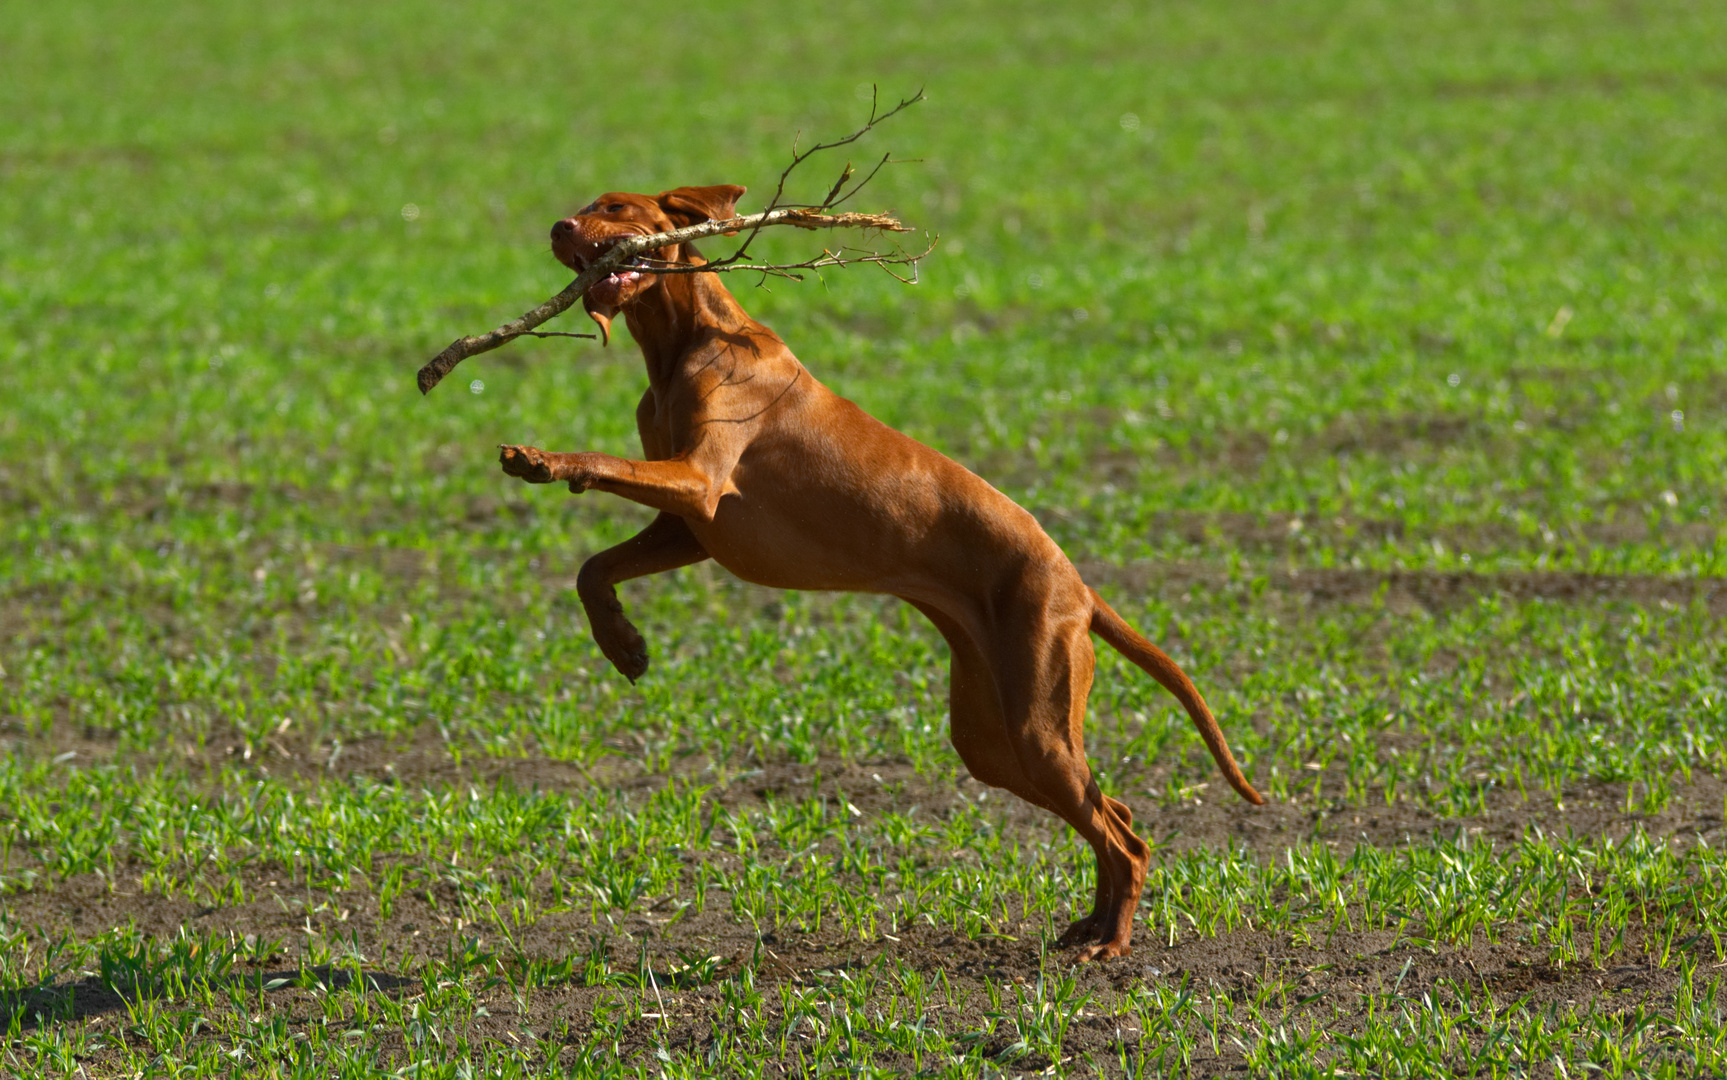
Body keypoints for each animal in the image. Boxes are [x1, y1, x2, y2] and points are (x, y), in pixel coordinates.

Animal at [500, 184, 1271, 960]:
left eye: (615, 208)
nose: (558, 227)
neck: (681, 340)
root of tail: (1078, 585)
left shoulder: (700, 484)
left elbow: (601, 465)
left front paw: (545, 460)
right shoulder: (687, 527)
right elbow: (591, 568)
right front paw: (621, 643)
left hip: (1036, 726)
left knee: (1125, 839)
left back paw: (1109, 945)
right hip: (991, 741)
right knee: (1114, 812)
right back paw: (1089, 924)